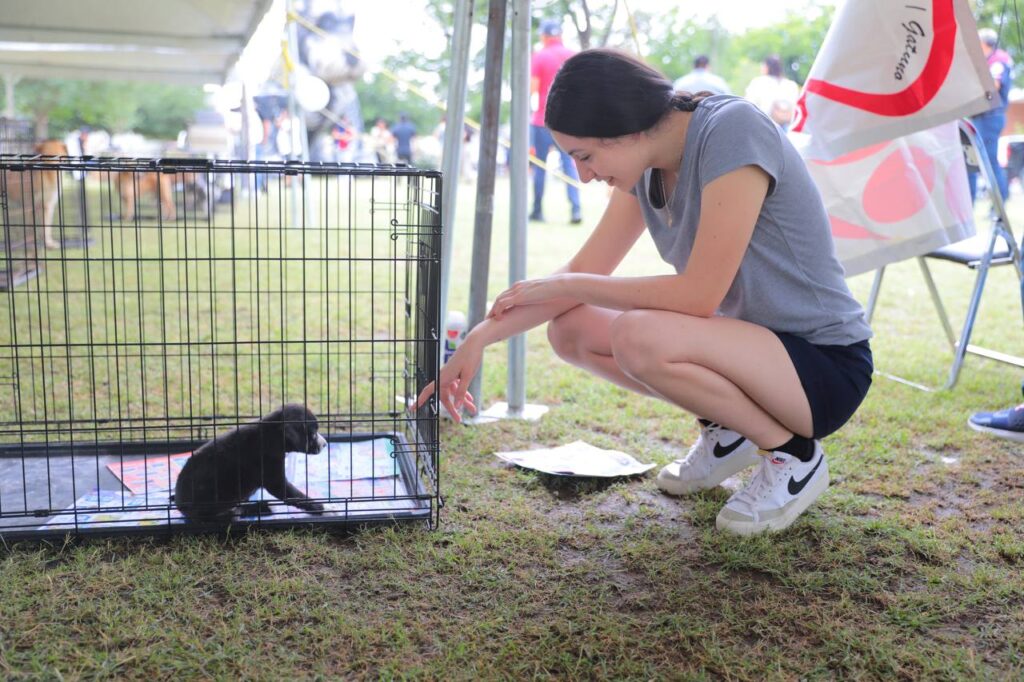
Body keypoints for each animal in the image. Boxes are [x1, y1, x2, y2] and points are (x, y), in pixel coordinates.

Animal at [175, 403, 327, 520]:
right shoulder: (275, 480)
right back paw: (262, 508)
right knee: (232, 513)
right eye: (313, 434)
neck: (272, 433)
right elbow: (295, 495)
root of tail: (179, 504)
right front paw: (319, 506)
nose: (325, 444)